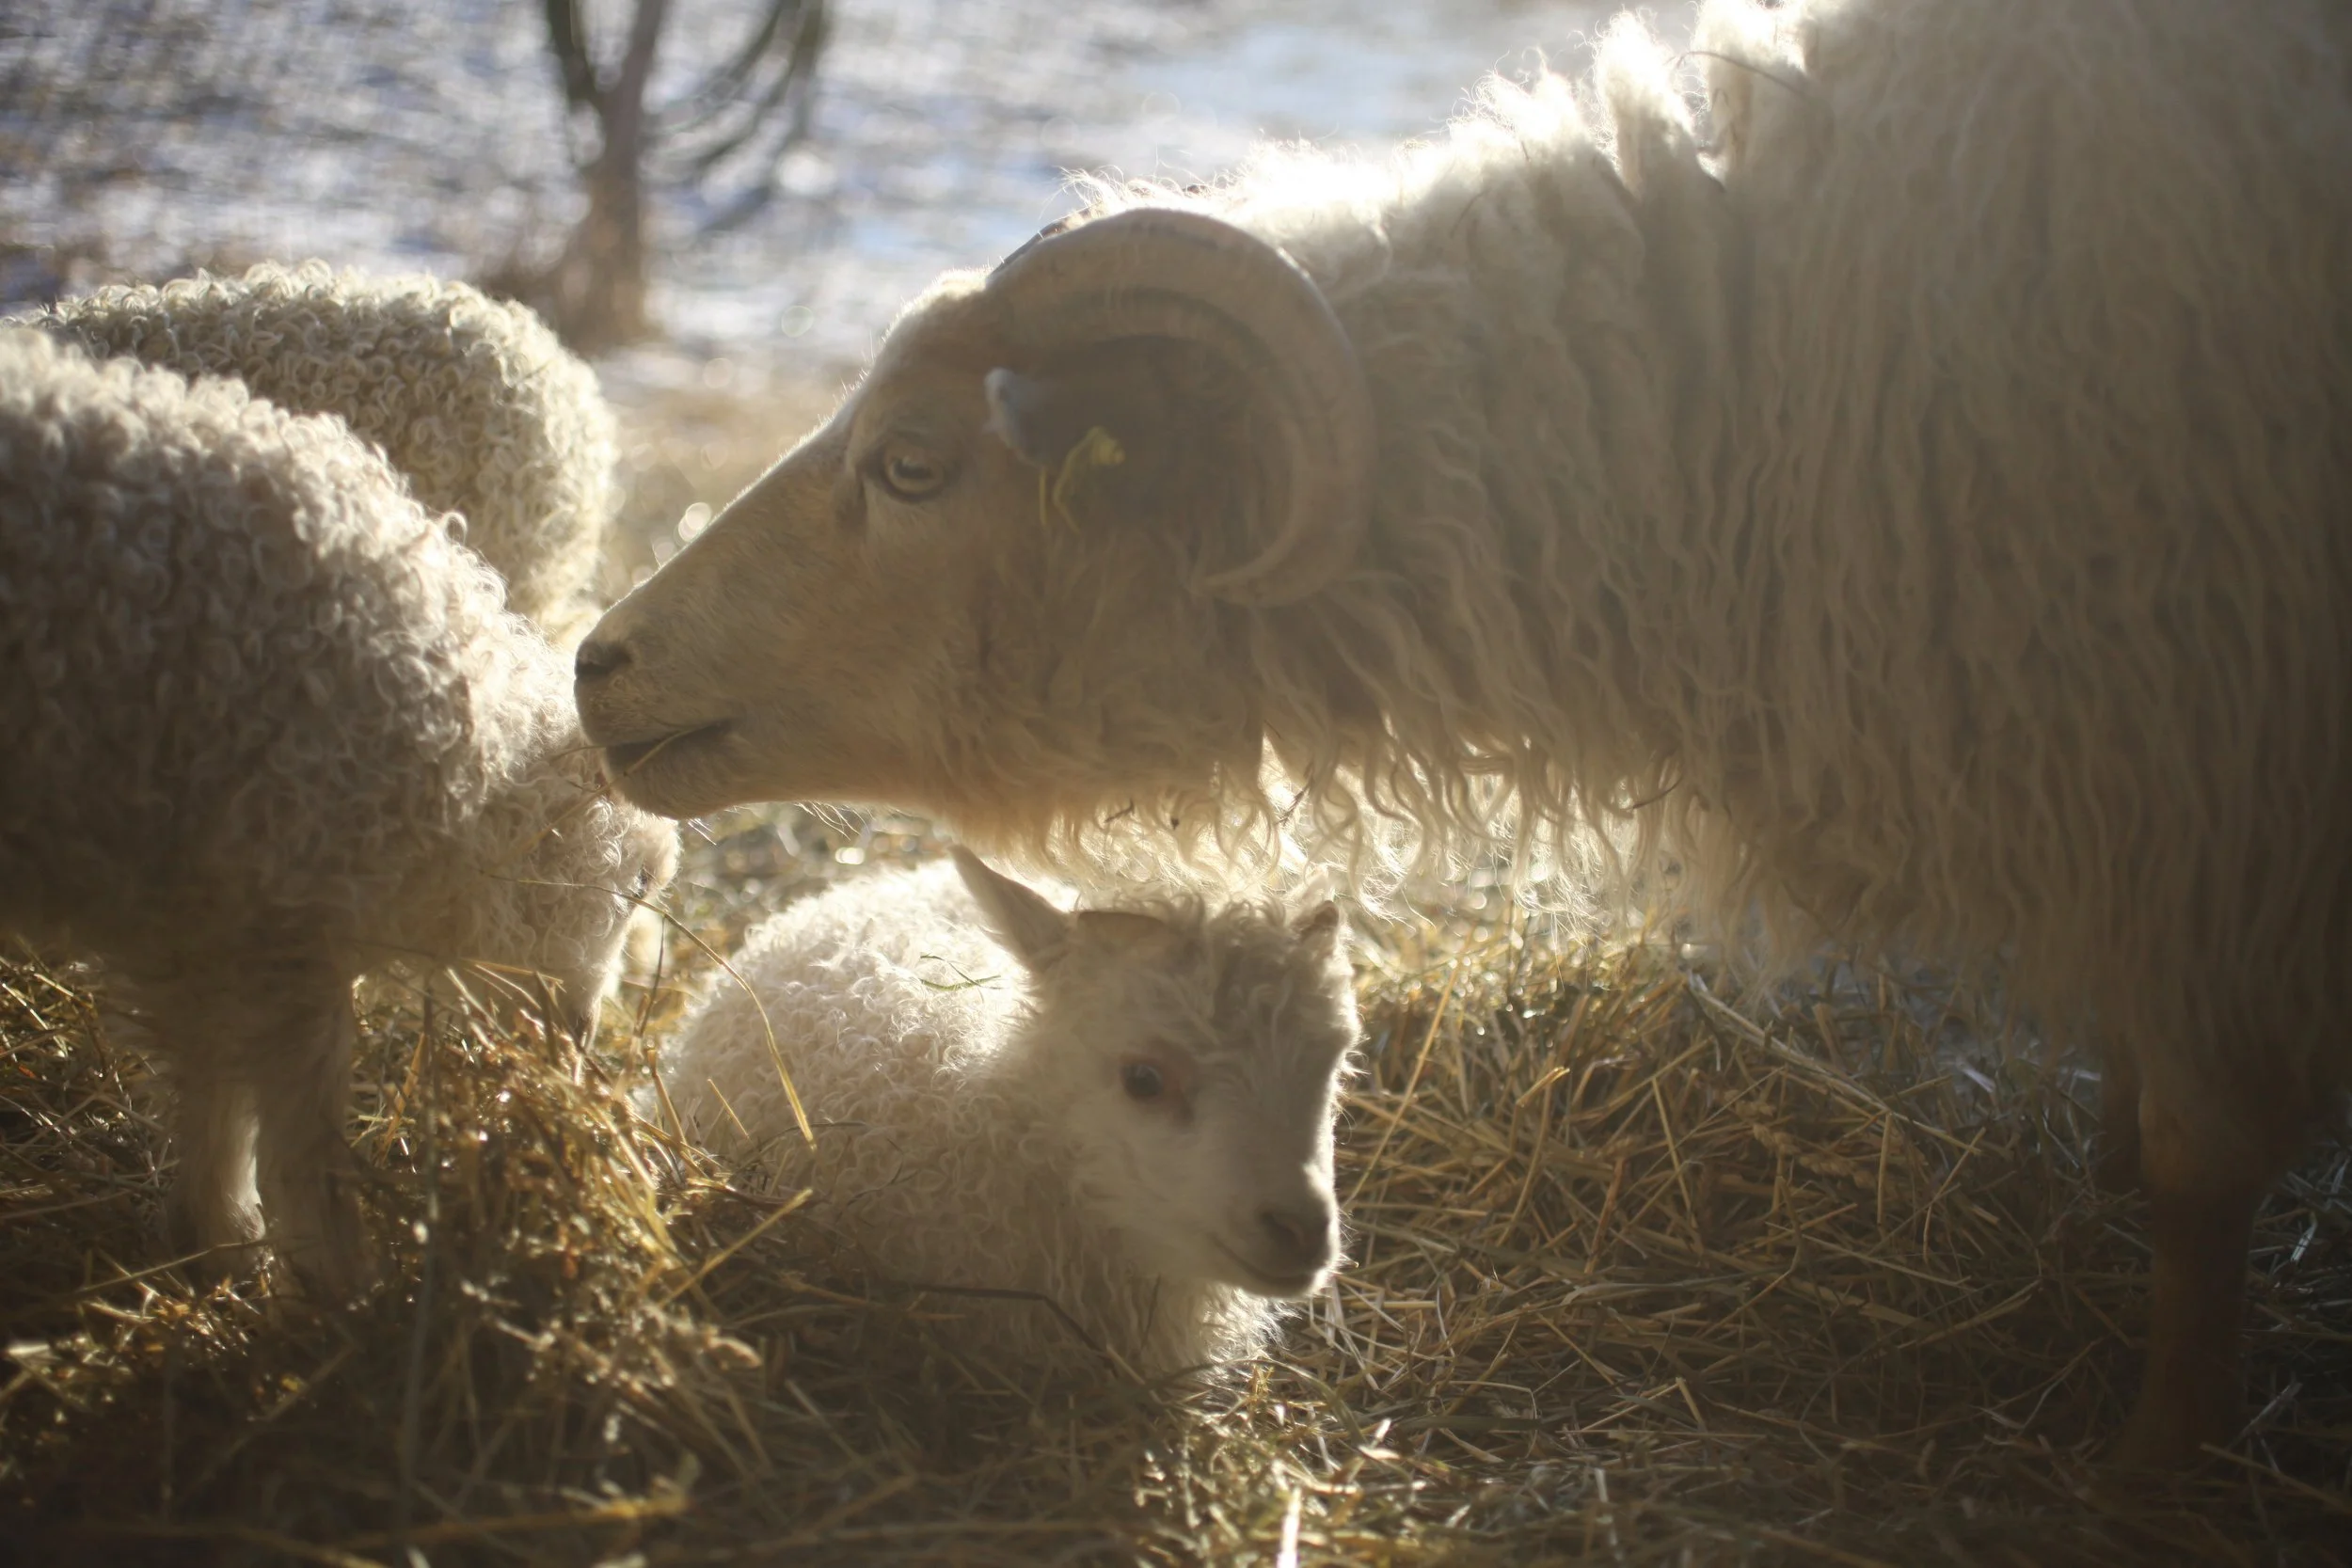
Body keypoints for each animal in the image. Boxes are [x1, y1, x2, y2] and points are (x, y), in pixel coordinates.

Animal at [0, 328, 679, 1298]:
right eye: (636, 884)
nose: (583, 1041)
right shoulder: (267, 913)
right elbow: (295, 1120)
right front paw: (336, 1280)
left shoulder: (203, 913)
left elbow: (211, 1081)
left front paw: (215, 1236)